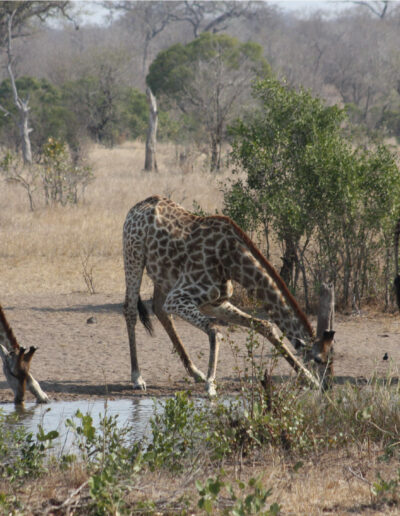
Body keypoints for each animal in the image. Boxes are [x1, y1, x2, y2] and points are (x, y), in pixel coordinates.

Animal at [122, 197, 334, 396]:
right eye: (318, 359)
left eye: (331, 357)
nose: (327, 386)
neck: (232, 260)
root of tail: (139, 205)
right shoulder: (178, 298)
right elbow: (215, 330)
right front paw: (211, 385)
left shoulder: (215, 302)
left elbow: (264, 325)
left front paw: (308, 379)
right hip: (133, 256)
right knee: (130, 311)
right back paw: (137, 377)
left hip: (163, 276)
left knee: (159, 309)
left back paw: (195, 372)